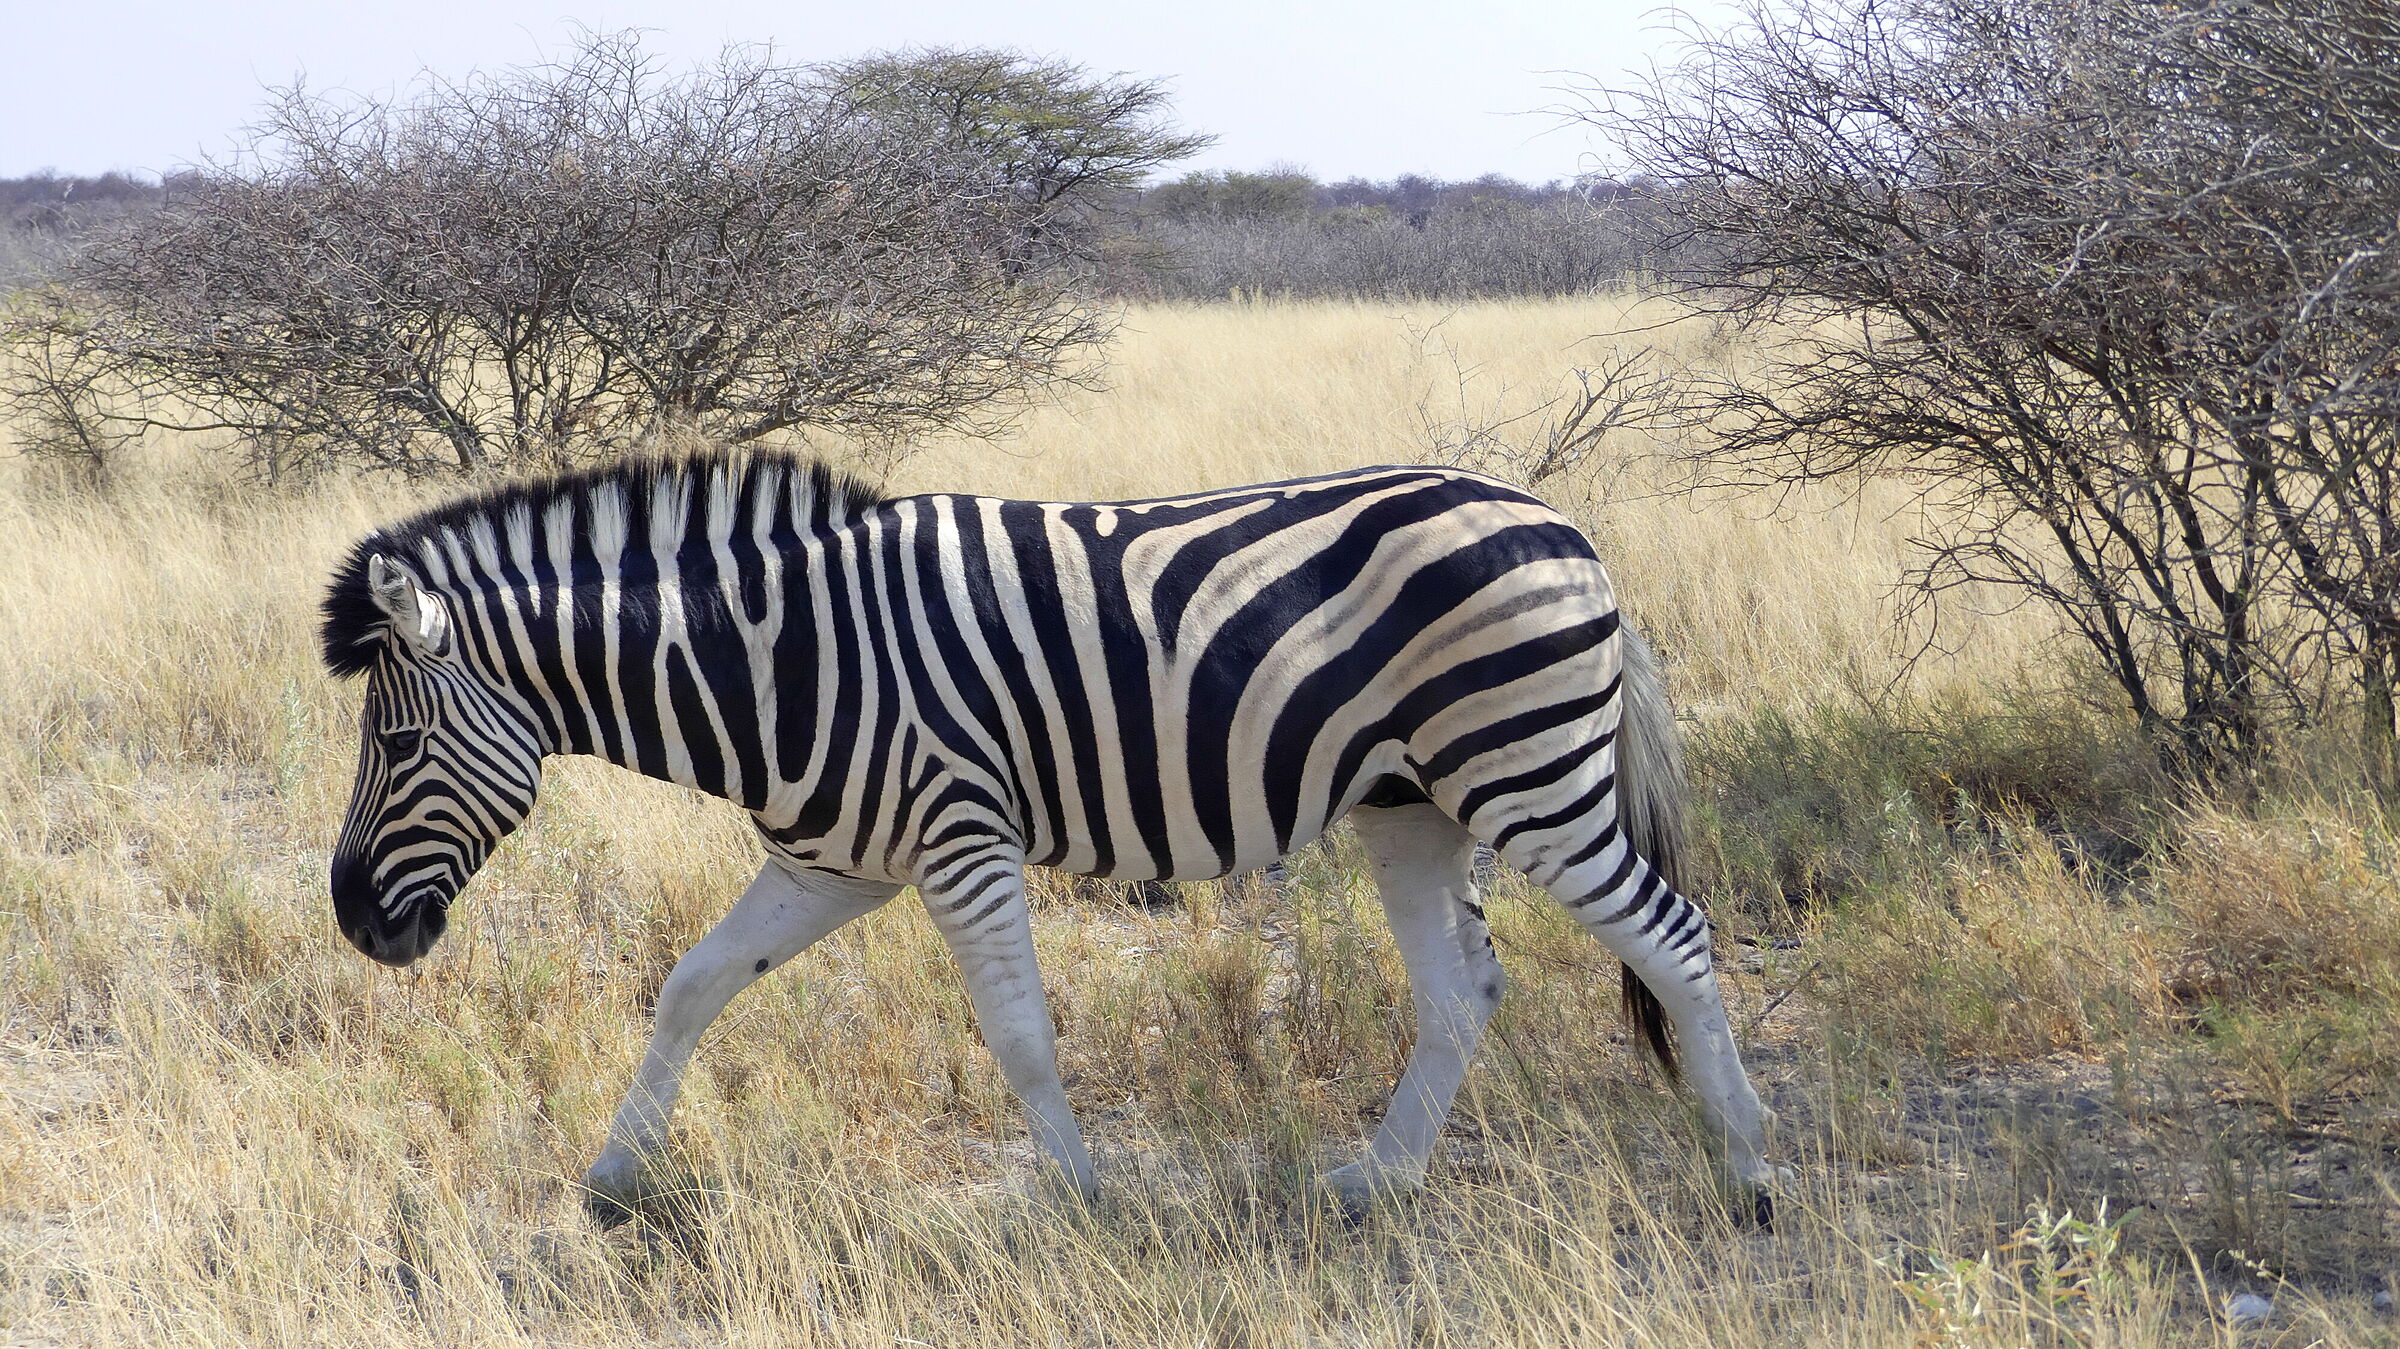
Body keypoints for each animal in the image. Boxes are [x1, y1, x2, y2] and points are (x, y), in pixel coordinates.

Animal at [321, 451, 1785, 1223]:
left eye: (395, 748)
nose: (353, 922)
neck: (778, 662)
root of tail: (1561, 524)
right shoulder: (828, 861)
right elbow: (690, 985)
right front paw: (615, 1176)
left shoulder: (960, 834)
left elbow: (1020, 1032)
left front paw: (1085, 1196)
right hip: (1413, 804)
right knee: (1466, 986)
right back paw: (1371, 1182)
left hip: (1526, 772)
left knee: (1676, 935)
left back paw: (1751, 1169)